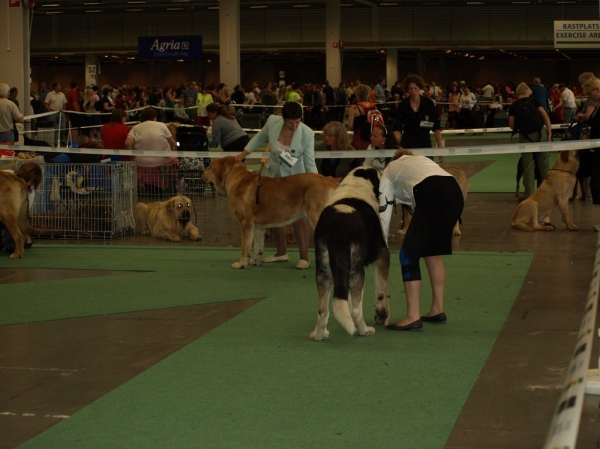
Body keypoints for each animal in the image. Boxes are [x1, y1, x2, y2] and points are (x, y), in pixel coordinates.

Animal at [203, 156, 338, 268]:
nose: (202, 172)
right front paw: (256, 261)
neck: (236, 178)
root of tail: (329, 181)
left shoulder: (246, 223)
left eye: (211, 167)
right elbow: (258, 245)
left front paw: (241, 263)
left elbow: (245, 246)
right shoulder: (258, 226)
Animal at [310, 165, 390, 340]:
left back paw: (319, 334)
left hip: (324, 271)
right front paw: (382, 314)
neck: (356, 185)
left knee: (323, 309)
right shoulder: (382, 255)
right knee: (355, 310)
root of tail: (337, 229)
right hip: (356, 272)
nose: (382, 170)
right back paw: (364, 330)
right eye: (377, 172)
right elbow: (381, 291)